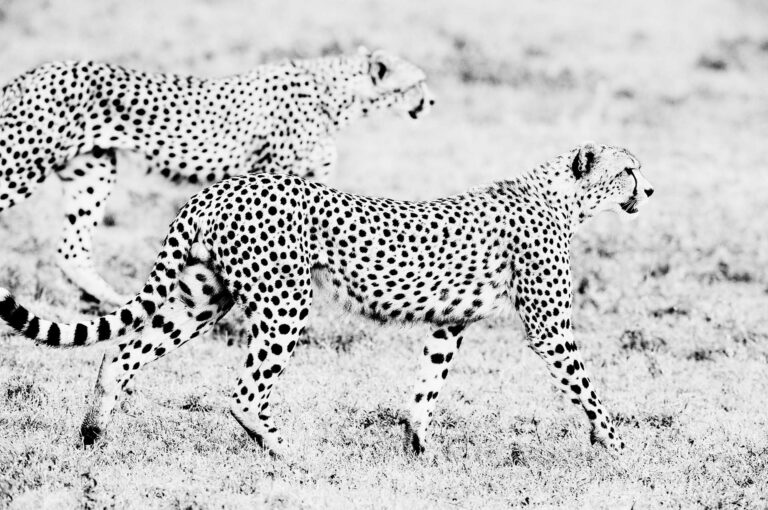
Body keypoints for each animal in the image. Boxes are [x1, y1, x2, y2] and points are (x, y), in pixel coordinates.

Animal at [0, 46, 432, 302]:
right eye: (419, 82)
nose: (431, 101)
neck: (335, 93)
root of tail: (35, 72)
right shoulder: (276, 176)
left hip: (93, 169)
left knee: (71, 251)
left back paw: (118, 302)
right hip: (23, 163)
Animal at [0, 142, 656, 454]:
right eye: (628, 169)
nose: (649, 190)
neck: (561, 196)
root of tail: (218, 188)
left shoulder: (449, 321)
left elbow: (426, 386)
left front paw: (418, 446)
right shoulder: (549, 329)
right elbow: (588, 389)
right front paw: (619, 447)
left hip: (202, 298)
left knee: (122, 353)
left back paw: (93, 434)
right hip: (286, 300)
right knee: (243, 392)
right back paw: (286, 451)